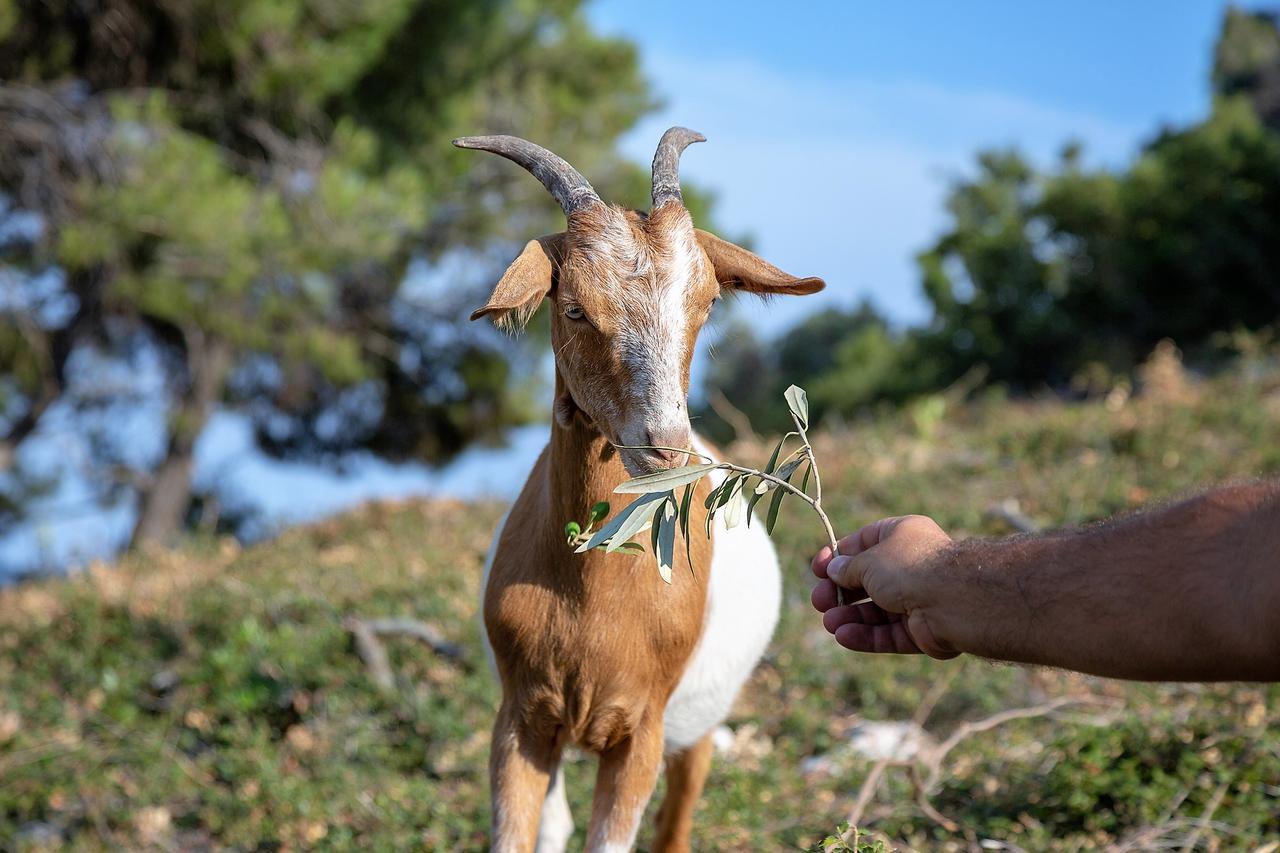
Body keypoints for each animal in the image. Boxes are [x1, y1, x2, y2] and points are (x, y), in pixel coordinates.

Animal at [455, 128, 824, 850]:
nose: (665, 444)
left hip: (697, 729)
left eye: (708, 301)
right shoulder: (521, 719)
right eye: (574, 307)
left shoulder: (639, 732)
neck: (588, 594)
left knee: (677, 819)